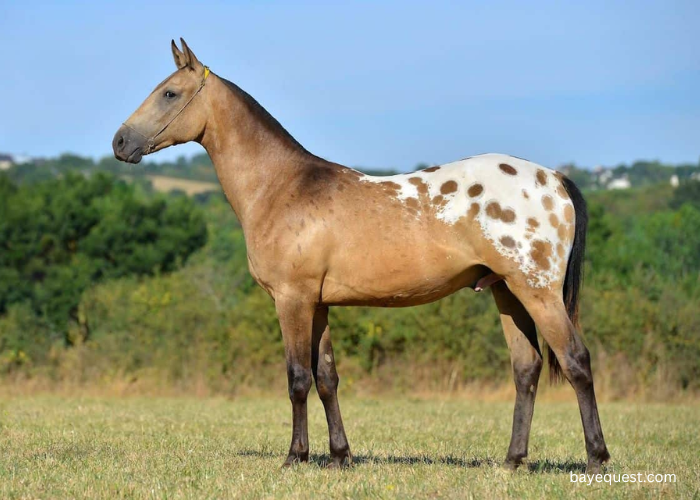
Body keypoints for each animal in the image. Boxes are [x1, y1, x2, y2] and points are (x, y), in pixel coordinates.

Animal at [112, 39, 608, 472]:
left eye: (169, 93)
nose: (120, 142)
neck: (282, 186)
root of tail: (555, 179)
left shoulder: (292, 299)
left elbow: (297, 378)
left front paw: (295, 457)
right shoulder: (319, 304)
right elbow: (327, 378)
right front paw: (339, 457)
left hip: (538, 291)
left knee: (577, 362)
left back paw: (596, 460)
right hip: (506, 291)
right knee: (527, 368)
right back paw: (513, 461)